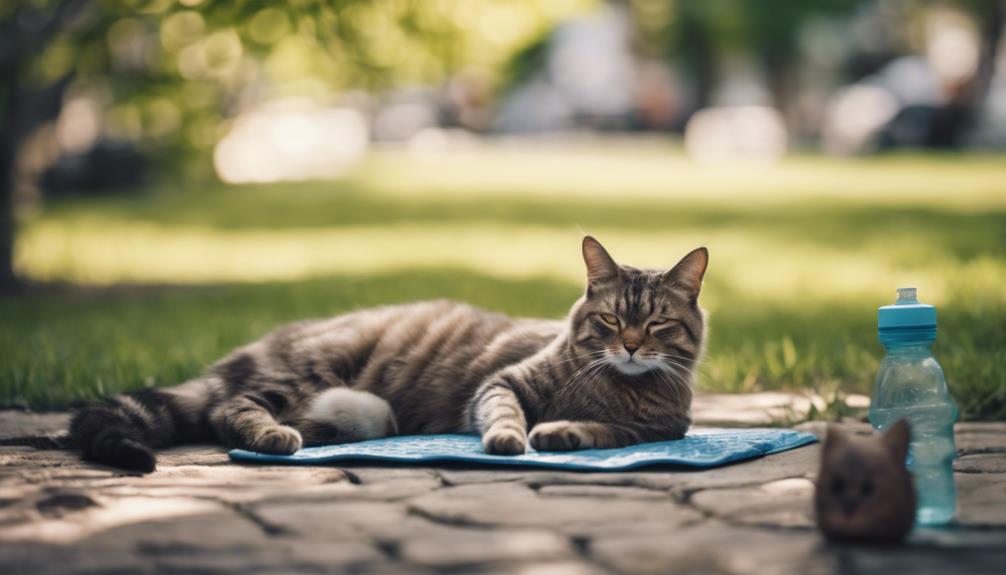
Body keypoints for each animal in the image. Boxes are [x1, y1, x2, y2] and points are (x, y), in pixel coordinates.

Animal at [70, 236, 708, 468]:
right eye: (610, 320)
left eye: (656, 323)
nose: (630, 347)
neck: (615, 385)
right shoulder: (502, 384)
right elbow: (505, 415)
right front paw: (511, 439)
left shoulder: (657, 431)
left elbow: (604, 433)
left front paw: (562, 433)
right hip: (306, 370)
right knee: (230, 409)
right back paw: (273, 436)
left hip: (366, 411)